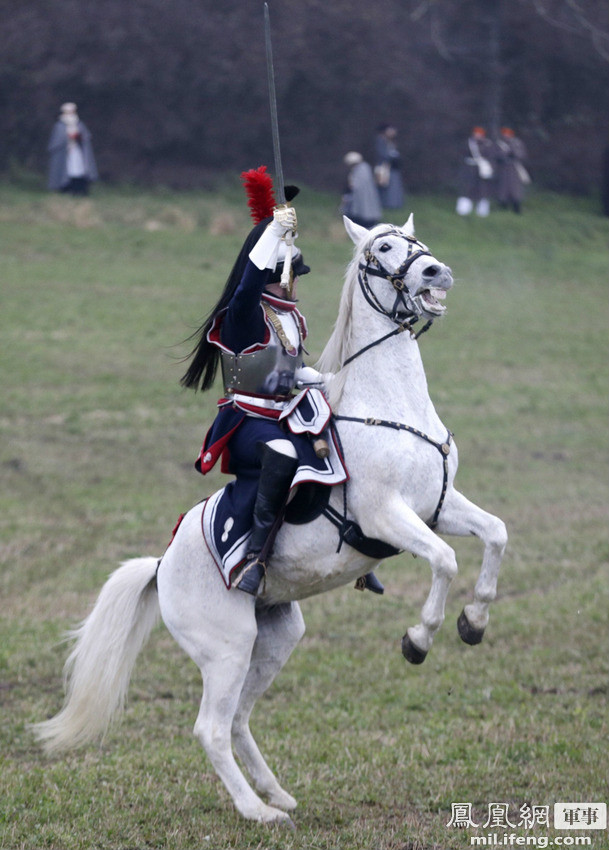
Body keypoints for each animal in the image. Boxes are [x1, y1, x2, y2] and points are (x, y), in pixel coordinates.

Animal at [34, 215, 508, 824]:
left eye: (418, 243)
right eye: (383, 247)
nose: (435, 271)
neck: (390, 409)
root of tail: (162, 566)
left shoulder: (439, 508)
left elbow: (495, 533)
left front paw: (474, 621)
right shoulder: (387, 516)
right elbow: (445, 560)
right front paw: (418, 639)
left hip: (275, 636)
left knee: (238, 719)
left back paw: (277, 793)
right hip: (226, 647)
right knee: (211, 728)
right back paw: (258, 811)